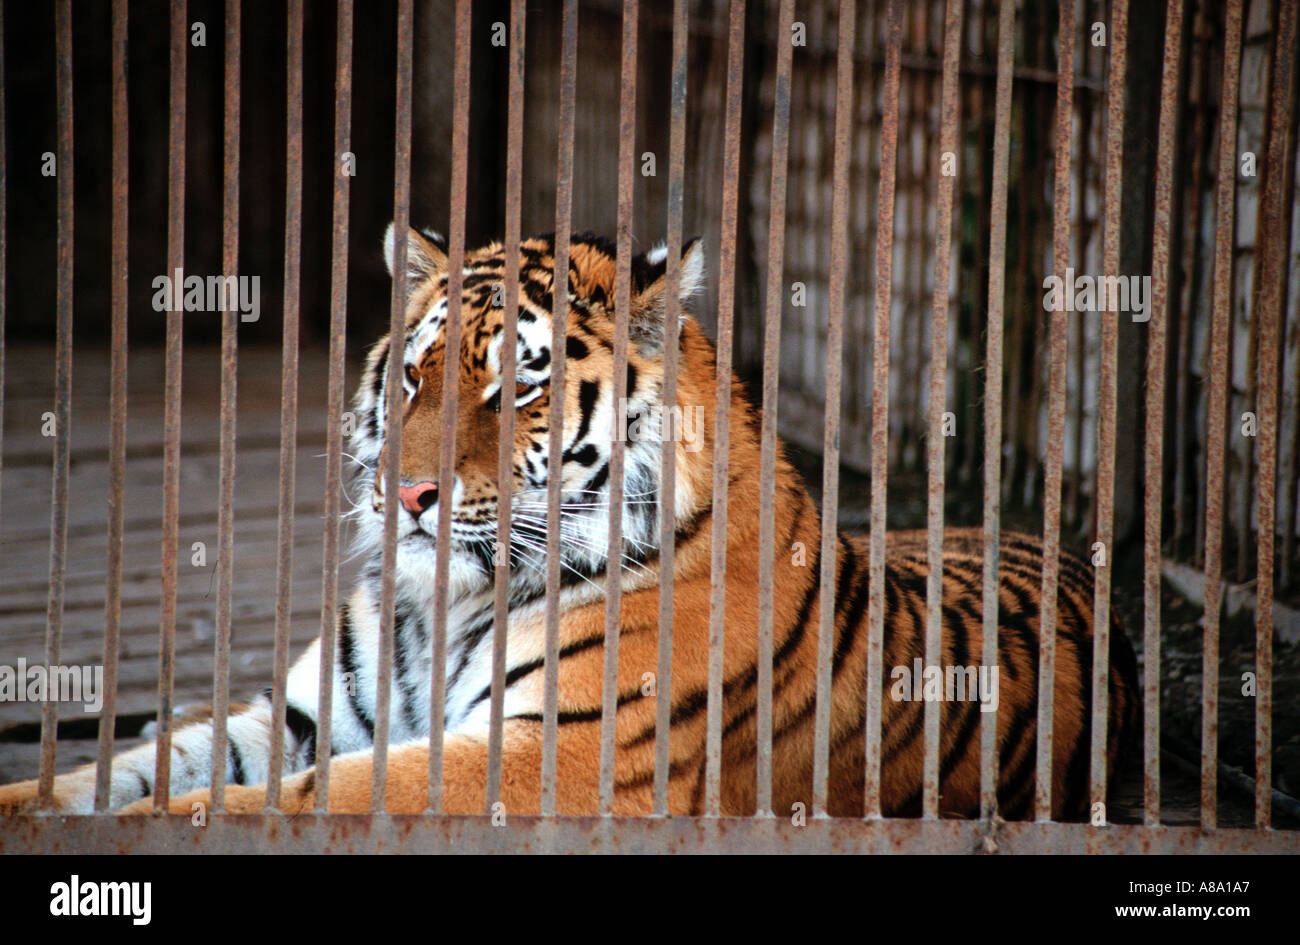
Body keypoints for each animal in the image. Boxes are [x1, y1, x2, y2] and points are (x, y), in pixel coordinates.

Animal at [0, 224, 1138, 816]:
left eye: (519, 389)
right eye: (413, 378)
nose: (404, 496)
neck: (447, 603)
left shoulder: (547, 753)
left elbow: (276, 801)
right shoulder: (310, 715)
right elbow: (124, 770)